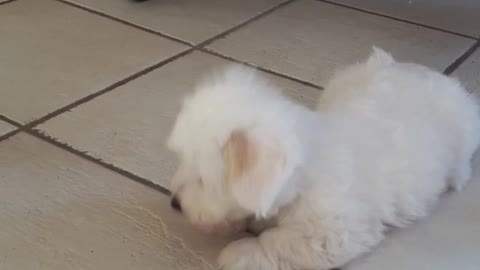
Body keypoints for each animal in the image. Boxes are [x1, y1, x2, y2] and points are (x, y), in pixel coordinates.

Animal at [166, 48, 480, 270]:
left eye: (203, 180)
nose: (174, 204)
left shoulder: (332, 232)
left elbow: (277, 242)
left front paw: (240, 252)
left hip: (464, 131)